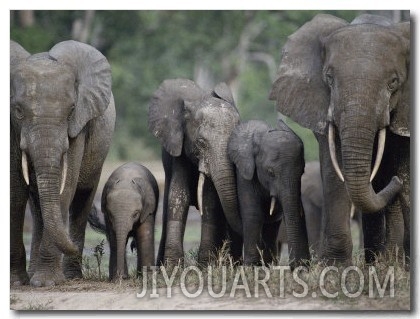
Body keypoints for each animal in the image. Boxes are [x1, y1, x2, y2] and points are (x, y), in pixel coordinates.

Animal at [10, 40, 115, 288]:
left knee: (82, 198)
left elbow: (65, 188)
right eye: (18, 111)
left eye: (71, 110)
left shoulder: (78, 126)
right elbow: (15, 191)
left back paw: (69, 276)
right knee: (37, 204)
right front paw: (16, 283)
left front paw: (46, 283)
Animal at [148, 79, 243, 266]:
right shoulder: (179, 149)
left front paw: (206, 265)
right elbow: (178, 195)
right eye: (201, 142)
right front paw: (172, 267)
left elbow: (209, 198)